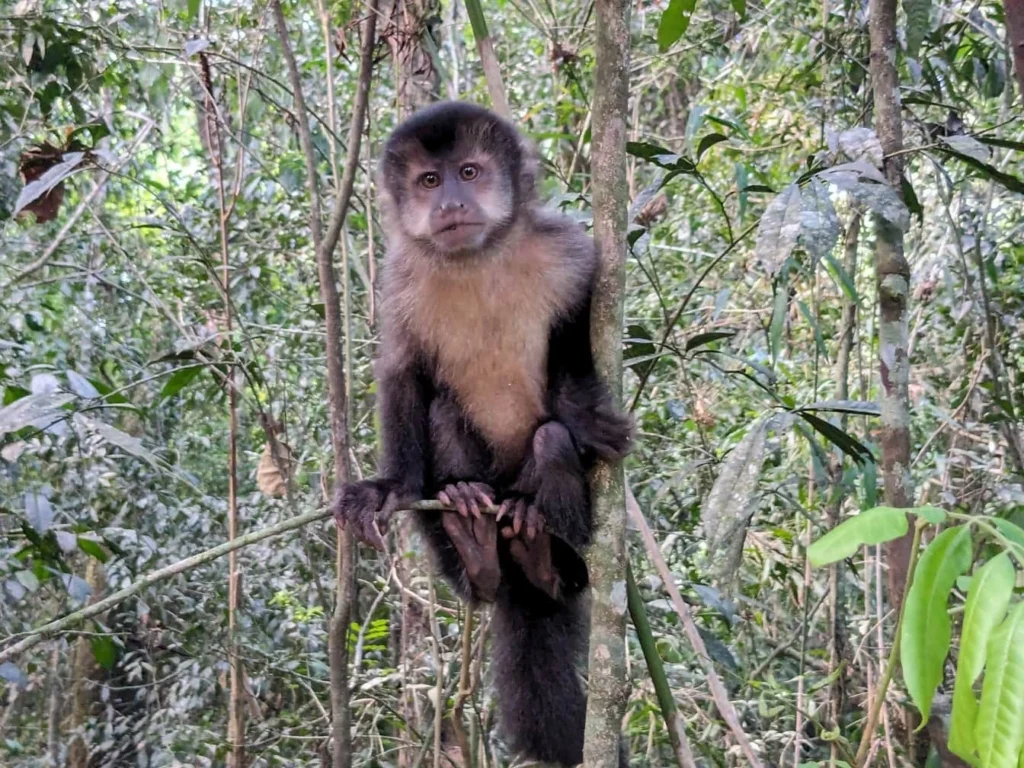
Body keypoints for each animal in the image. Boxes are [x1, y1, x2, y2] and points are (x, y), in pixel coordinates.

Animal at [333, 101, 632, 767]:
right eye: (428, 181)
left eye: (468, 172)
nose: (450, 203)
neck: (478, 259)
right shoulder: (399, 280)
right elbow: (403, 375)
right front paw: (390, 486)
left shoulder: (570, 253)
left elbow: (573, 345)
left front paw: (584, 419)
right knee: (443, 414)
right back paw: (476, 541)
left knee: (548, 453)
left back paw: (546, 554)